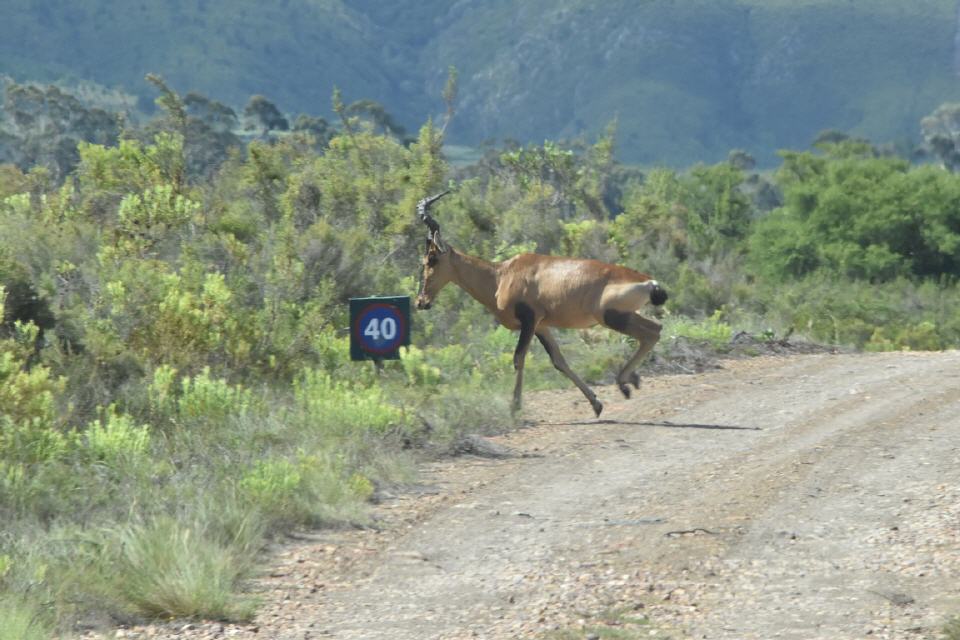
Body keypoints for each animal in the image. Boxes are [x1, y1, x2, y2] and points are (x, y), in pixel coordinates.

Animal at [412, 192, 668, 418]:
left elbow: (518, 358)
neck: (502, 274)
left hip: (611, 317)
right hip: (624, 314)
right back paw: (630, 380)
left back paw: (624, 383)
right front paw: (596, 404)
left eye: (431, 259)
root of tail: (649, 282)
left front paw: (514, 407)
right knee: (655, 329)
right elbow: (559, 361)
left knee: (650, 334)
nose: (421, 301)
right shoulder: (541, 326)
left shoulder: (529, 320)